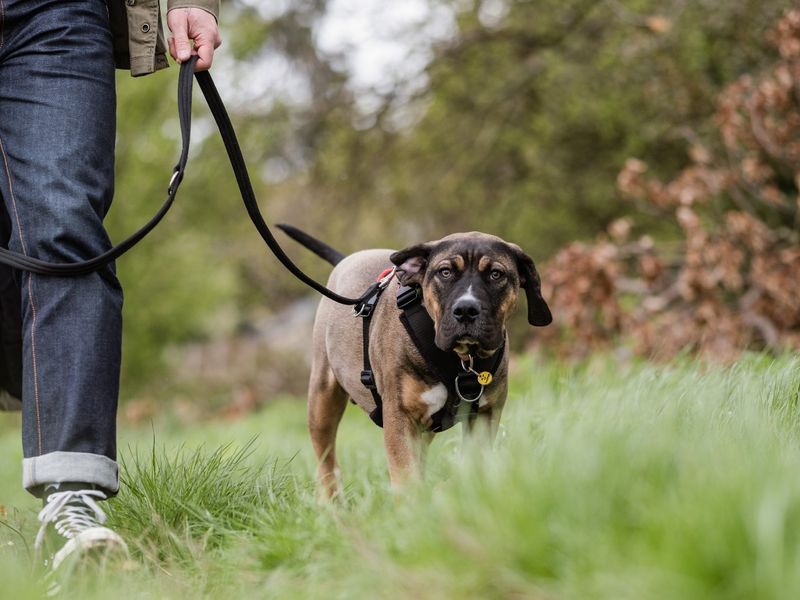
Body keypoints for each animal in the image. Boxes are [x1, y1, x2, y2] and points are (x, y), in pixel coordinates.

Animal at [280, 226, 552, 496]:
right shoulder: (400, 418)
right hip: (322, 399)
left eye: (496, 274)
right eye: (445, 272)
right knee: (326, 461)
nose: (466, 309)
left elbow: (473, 468)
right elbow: (406, 477)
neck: (462, 360)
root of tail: (348, 259)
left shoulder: (485, 417)